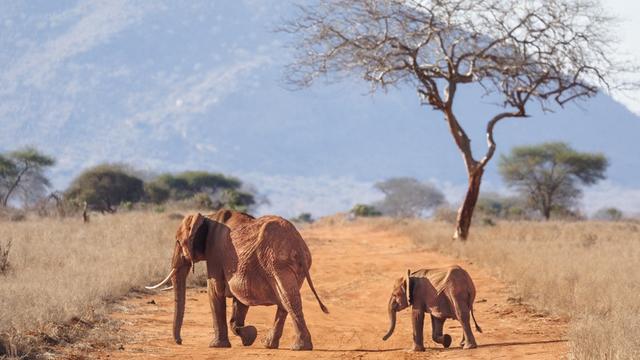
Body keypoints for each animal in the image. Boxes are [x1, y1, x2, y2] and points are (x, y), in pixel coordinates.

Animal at [147, 210, 328, 350]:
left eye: (178, 241)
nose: (180, 341)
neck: (207, 217)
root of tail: (298, 244)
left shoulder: (215, 254)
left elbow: (215, 292)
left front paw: (217, 346)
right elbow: (239, 299)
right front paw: (249, 337)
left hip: (277, 262)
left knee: (288, 298)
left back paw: (299, 347)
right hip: (291, 265)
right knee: (286, 300)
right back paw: (270, 345)